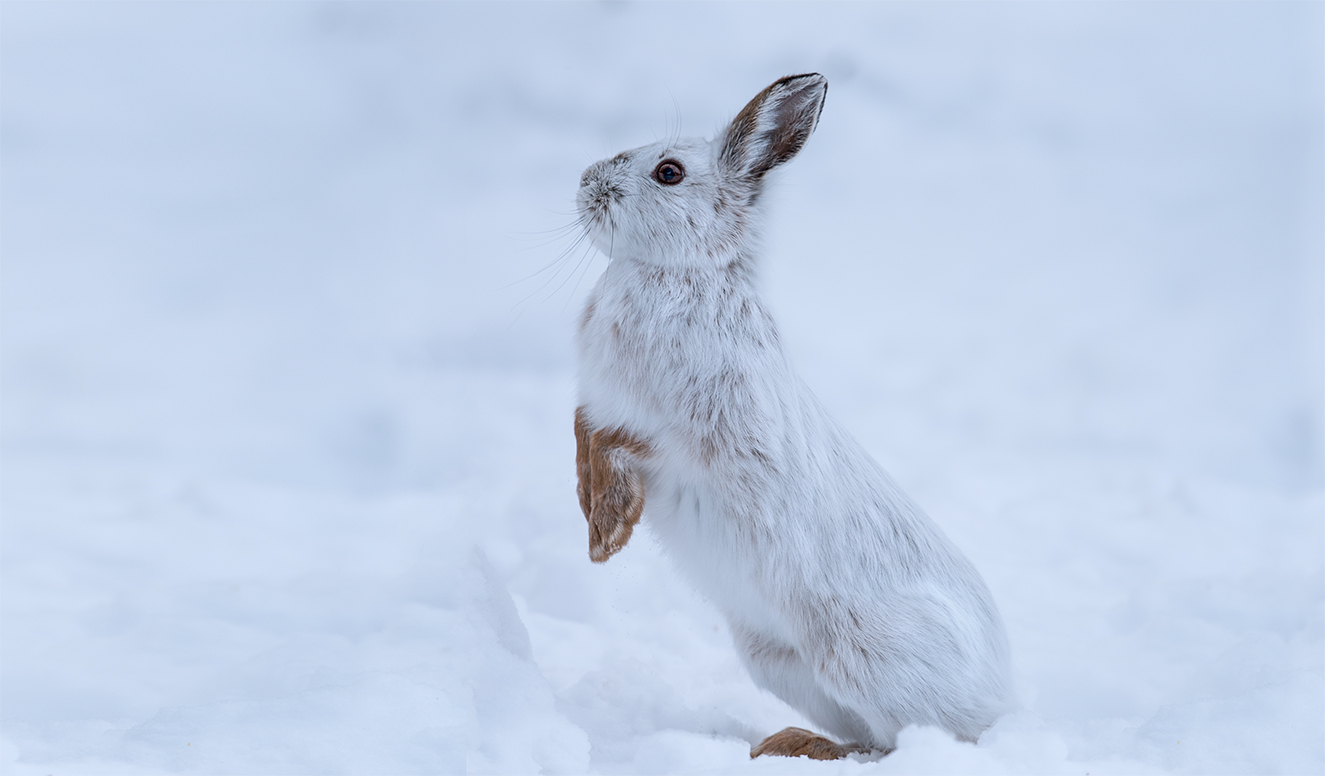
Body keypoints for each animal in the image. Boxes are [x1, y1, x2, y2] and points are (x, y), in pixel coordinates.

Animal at [573, 73, 1014, 759]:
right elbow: (584, 436)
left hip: (856, 653)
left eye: (669, 173)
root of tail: (999, 705)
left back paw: (799, 747)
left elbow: (623, 448)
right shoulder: (598, 410)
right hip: (774, 657)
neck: (682, 271)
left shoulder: (696, 433)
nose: (586, 184)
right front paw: (592, 521)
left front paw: (609, 534)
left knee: (909, 740)